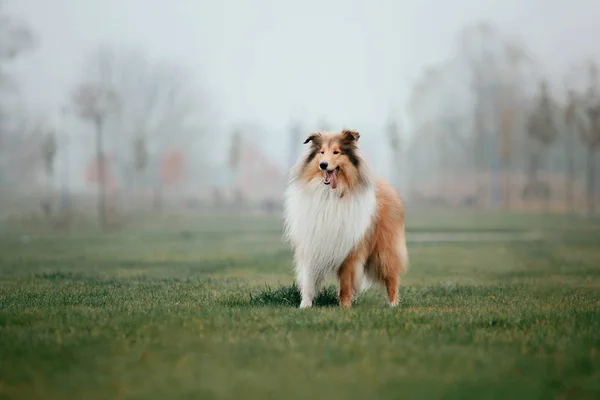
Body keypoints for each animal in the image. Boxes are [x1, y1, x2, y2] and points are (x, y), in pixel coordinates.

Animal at [282, 129, 408, 310]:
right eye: (321, 152)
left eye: (336, 152)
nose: (323, 165)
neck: (329, 194)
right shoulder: (311, 245)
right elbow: (308, 280)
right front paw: (305, 305)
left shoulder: (350, 249)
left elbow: (346, 283)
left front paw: (345, 307)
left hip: (385, 251)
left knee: (392, 278)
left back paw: (393, 304)